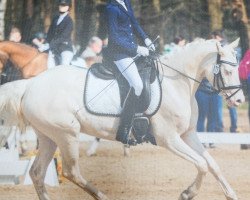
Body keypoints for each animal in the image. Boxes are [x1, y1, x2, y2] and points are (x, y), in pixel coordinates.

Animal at [0, 39, 244, 200]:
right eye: (226, 71)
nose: (240, 100)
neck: (177, 83)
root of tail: (31, 83)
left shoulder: (188, 134)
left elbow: (212, 164)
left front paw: (231, 194)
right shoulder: (169, 139)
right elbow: (201, 164)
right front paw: (187, 193)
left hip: (49, 137)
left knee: (37, 173)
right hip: (66, 134)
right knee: (71, 172)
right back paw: (103, 196)